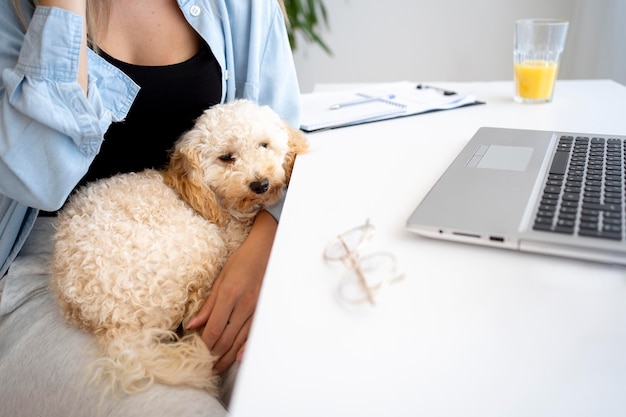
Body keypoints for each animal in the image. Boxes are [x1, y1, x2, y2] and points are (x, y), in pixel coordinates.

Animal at [50, 99, 308, 394]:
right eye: (226, 157)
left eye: (263, 145)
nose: (260, 184)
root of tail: (112, 324)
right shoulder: (228, 238)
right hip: (200, 246)